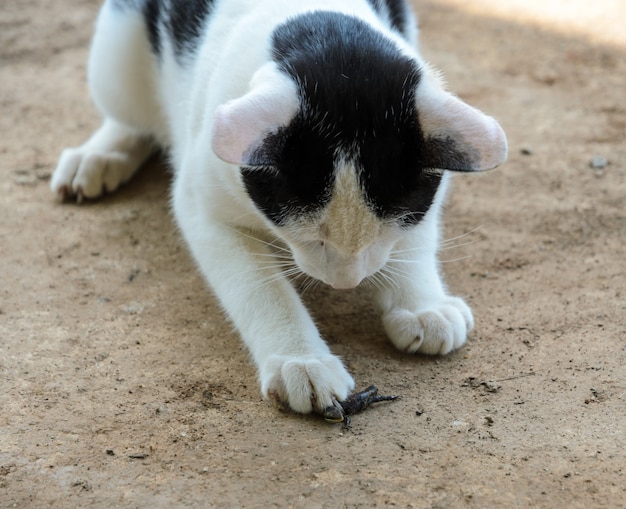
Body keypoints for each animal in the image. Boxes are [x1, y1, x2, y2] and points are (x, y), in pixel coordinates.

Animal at [51, 0, 504, 412]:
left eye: (382, 233)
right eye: (314, 238)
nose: (346, 281)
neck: (322, 29)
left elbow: (416, 236)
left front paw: (422, 306)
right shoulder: (203, 208)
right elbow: (260, 286)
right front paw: (300, 362)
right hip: (117, 54)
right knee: (130, 114)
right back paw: (100, 155)